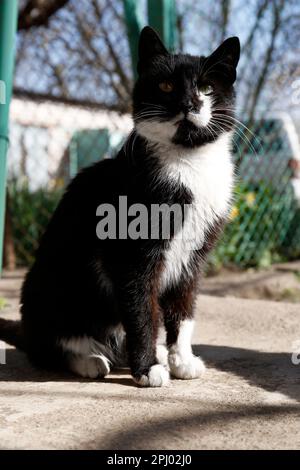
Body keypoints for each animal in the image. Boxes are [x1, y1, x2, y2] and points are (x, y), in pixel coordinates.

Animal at [0, 25, 239, 388]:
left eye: (207, 87)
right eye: (166, 86)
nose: (188, 103)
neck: (189, 162)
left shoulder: (195, 257)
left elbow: (184, 309)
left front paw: (181, 360)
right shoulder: (130, 254)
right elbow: (141, 309)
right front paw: (148, 369)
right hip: (49, 288)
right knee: (49, 348)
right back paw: (90, 360)